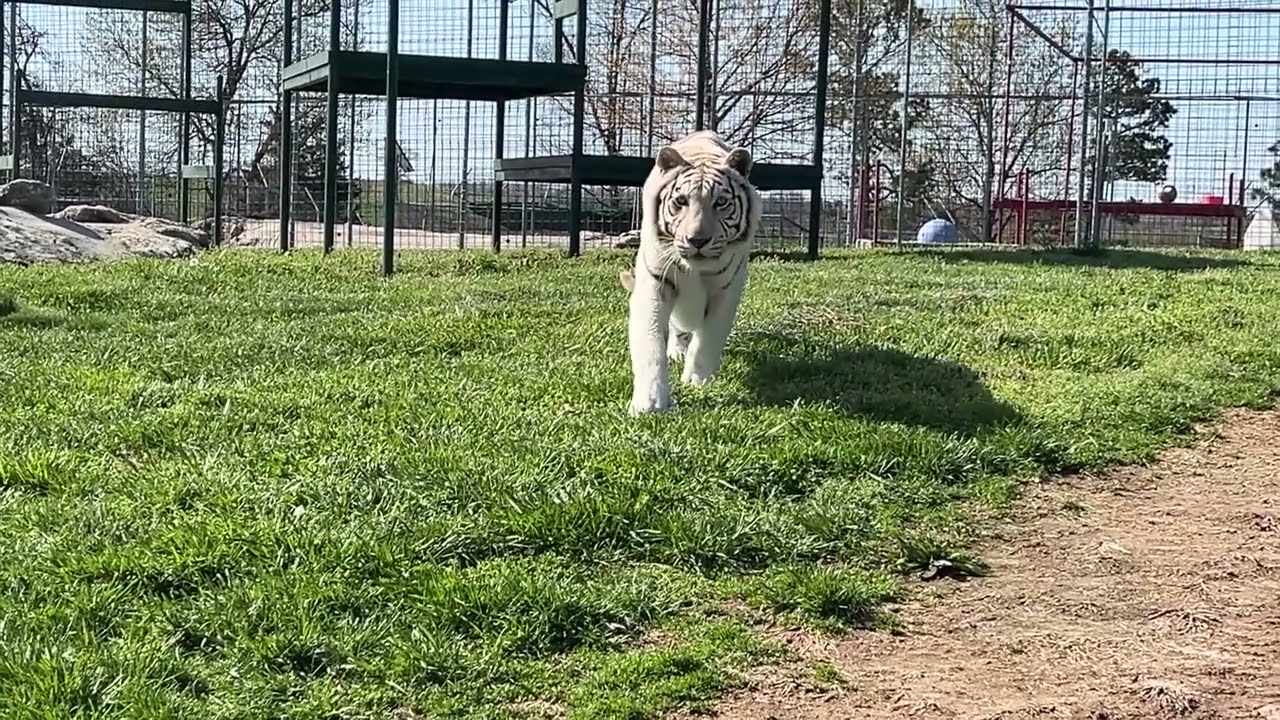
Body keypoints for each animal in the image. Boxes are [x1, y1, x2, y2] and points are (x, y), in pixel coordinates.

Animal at [625, 129, 763, 415]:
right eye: (681, 201)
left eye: (720, 202)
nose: (696, 240)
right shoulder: (654, 284)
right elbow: (651, 343)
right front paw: (649, 403)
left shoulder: (726, 291)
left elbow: (707, 339)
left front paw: (697, 382)